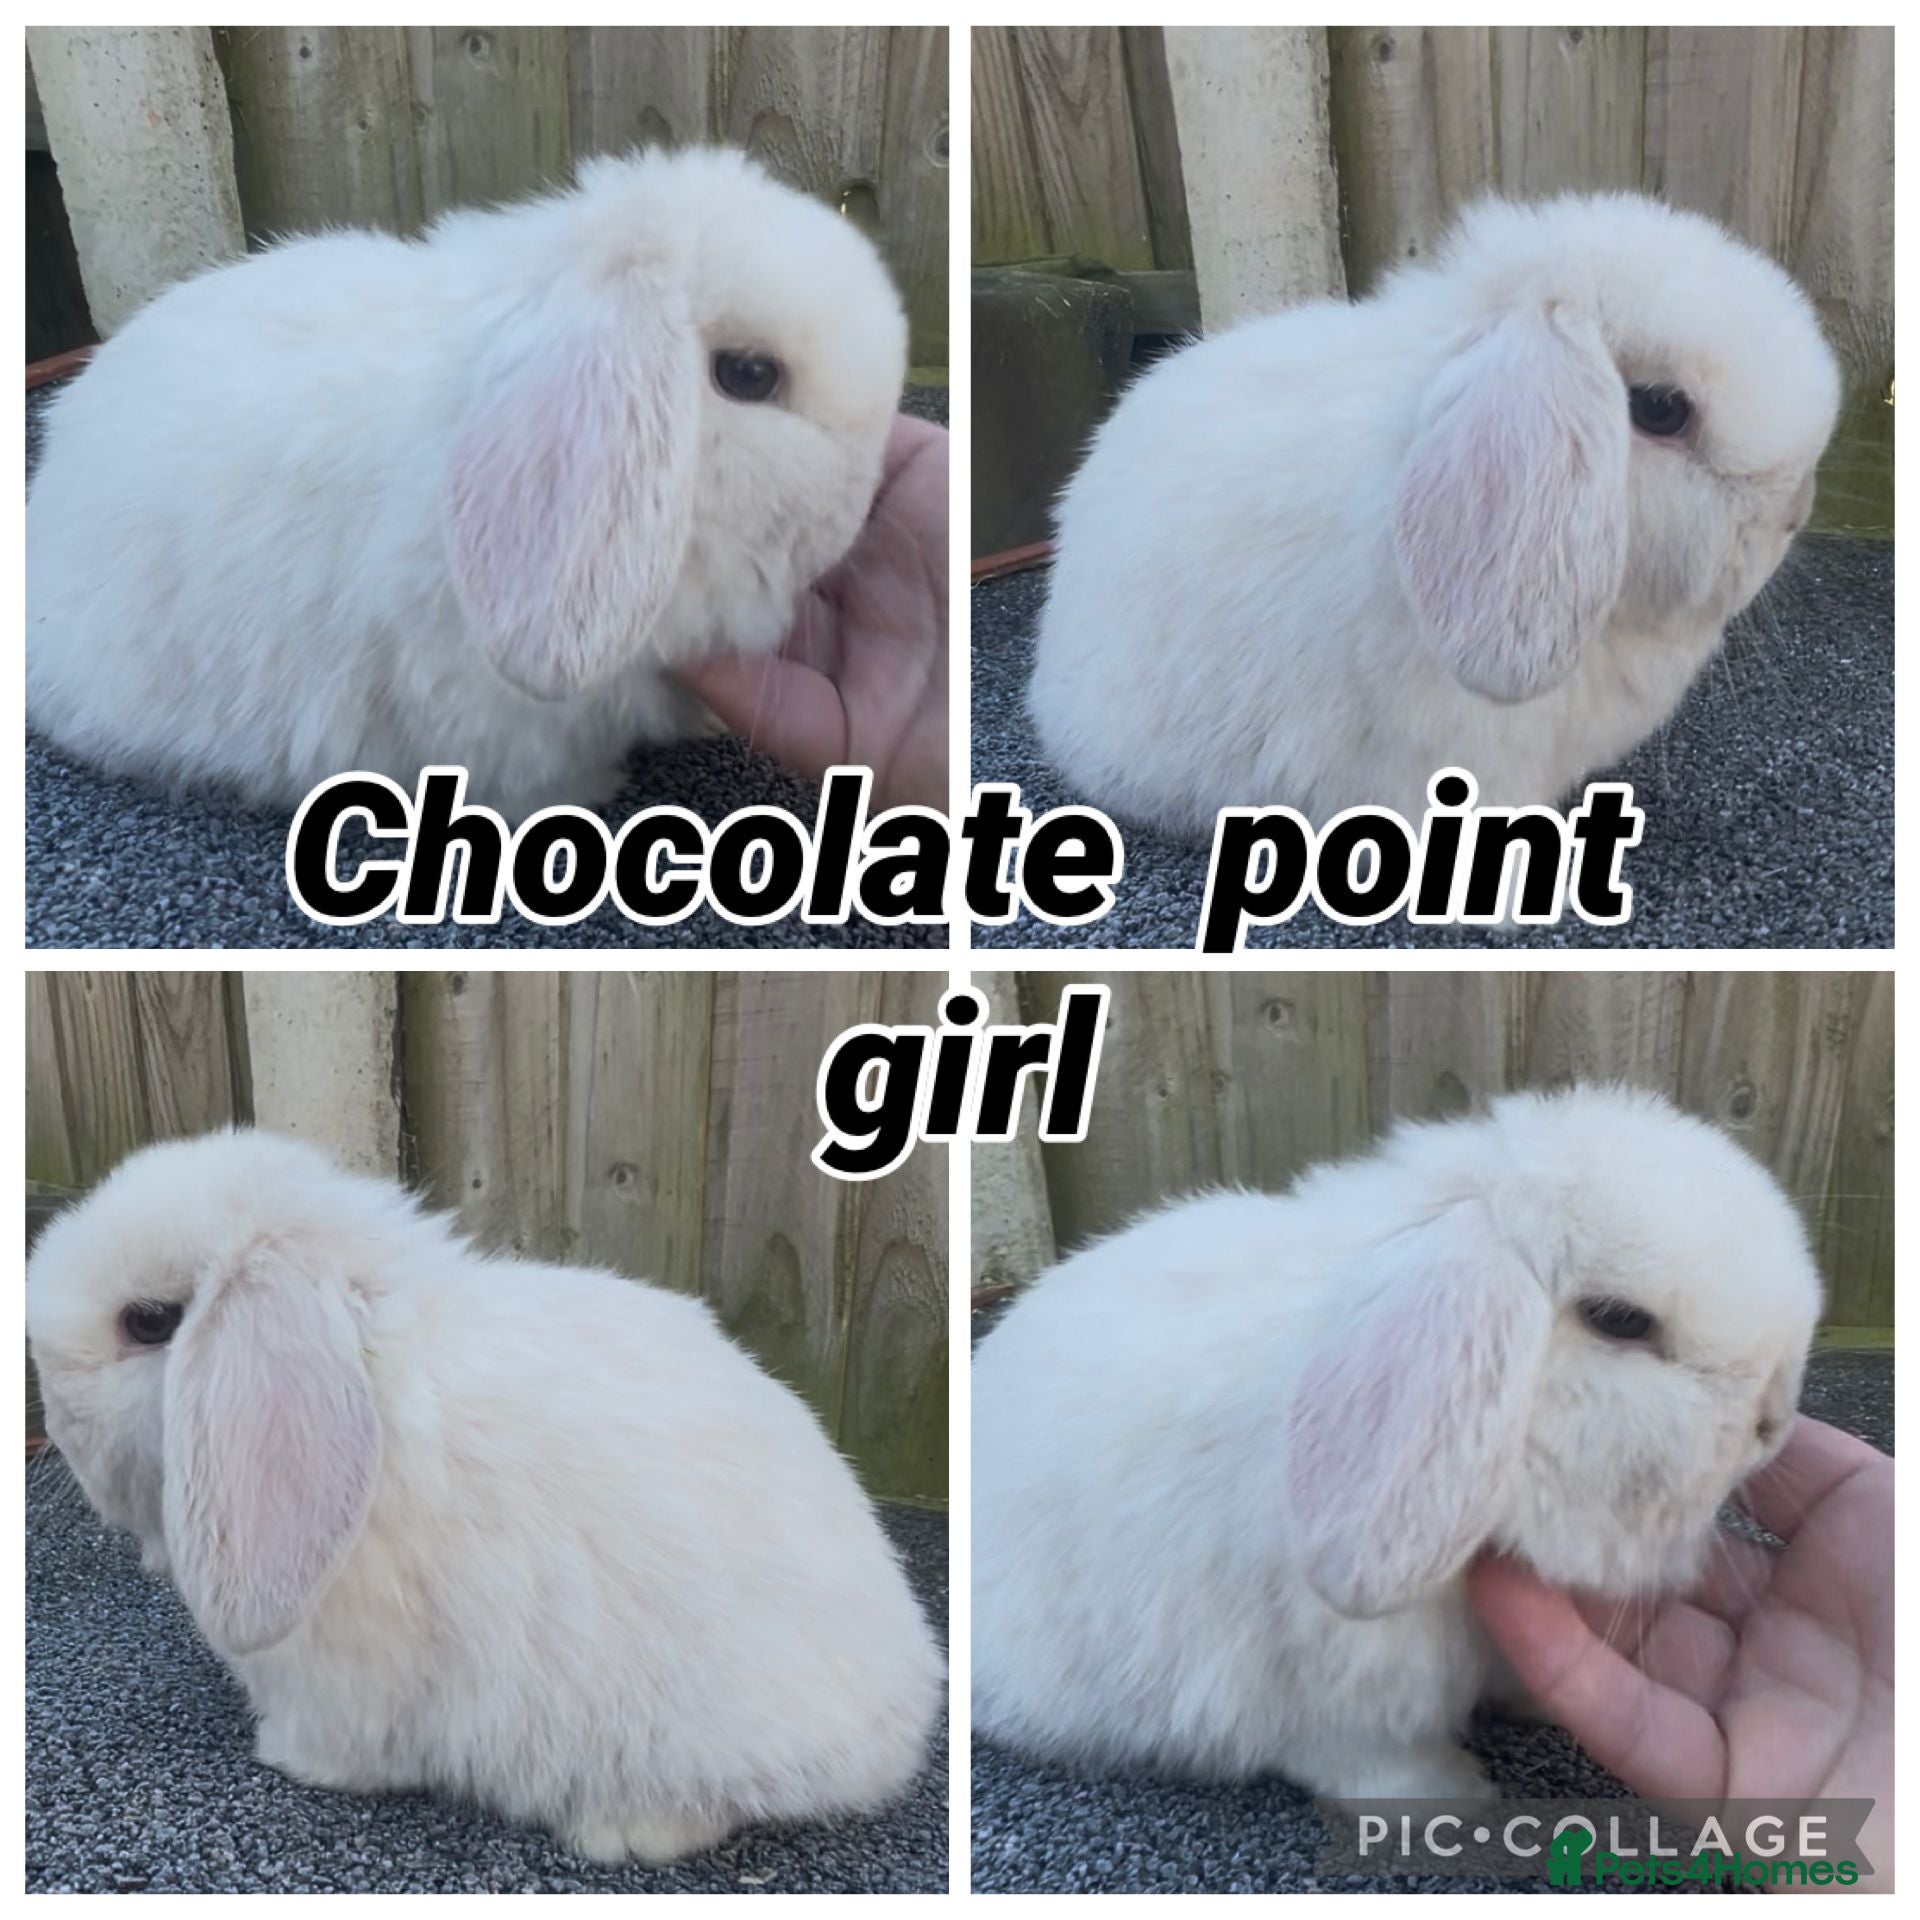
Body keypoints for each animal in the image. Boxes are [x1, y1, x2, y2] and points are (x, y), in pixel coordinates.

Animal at [26, 1128, 943, 1863]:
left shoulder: (341, 1681)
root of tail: (901, 1721)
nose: (55, 1419)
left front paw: (283, 1758)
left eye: (149, 1321)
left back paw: (620, 1831)